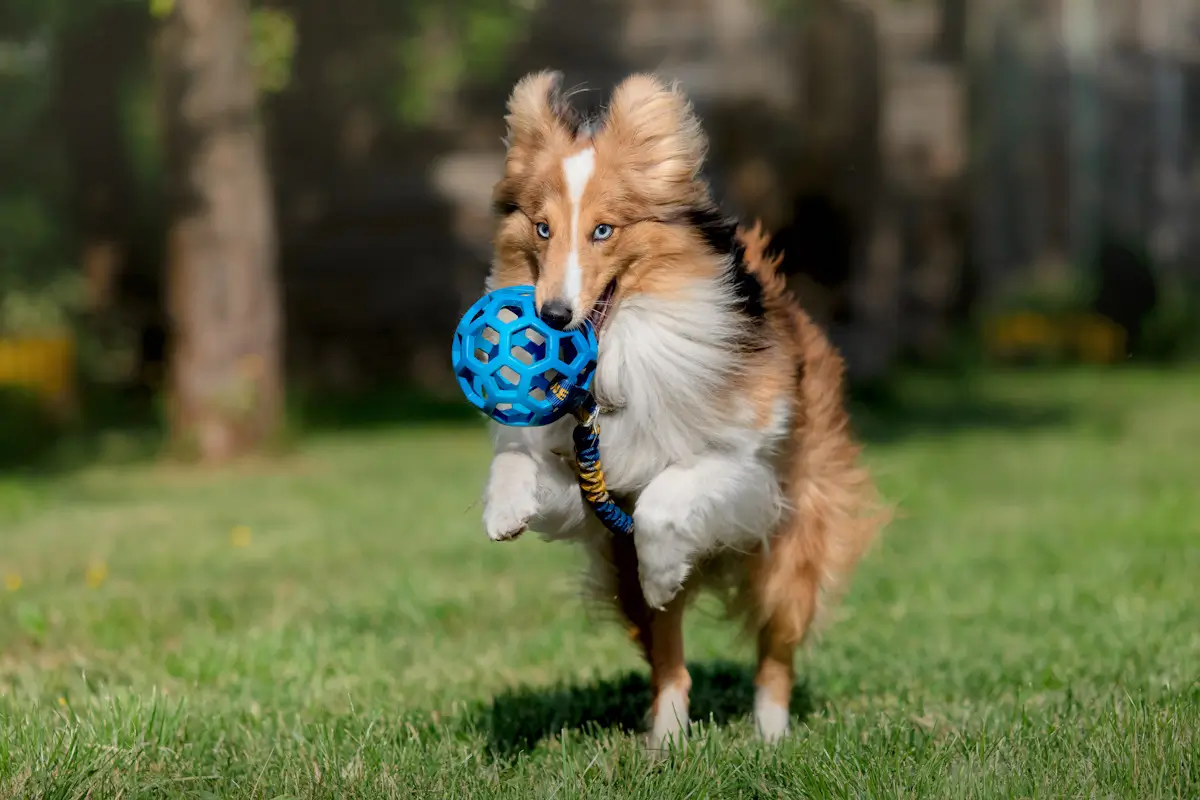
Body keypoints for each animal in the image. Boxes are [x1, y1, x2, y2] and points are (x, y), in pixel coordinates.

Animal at [477, 70, 883, 753]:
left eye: (604, 231)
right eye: (541, 229)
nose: (553, 316)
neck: (619, 348)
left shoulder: (747, 462)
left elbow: (666, 498)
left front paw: (665, 567)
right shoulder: (590, 490)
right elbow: (517, 456)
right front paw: (504, 507)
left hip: (792, 545)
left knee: (776, 655)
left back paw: (771, 739)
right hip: (628, 575)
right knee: (671, 660)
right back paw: (665, 745)